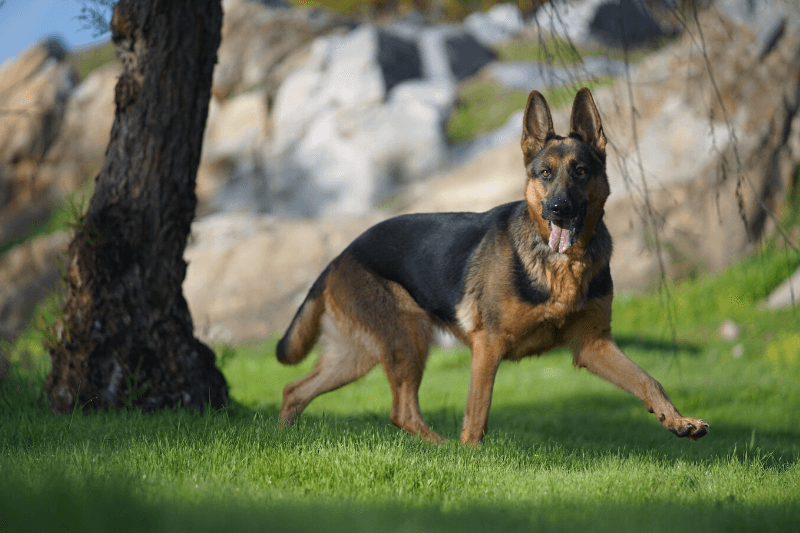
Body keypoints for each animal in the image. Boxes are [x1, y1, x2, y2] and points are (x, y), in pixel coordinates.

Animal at [274, 88, 708, 444]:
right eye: (545, 174)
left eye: (581, 172)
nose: (559, 209)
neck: (562, 266)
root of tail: (341, 253)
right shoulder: (488, 345)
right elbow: (478, 410)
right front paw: (471, 455)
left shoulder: (594, 346)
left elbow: (649, 381)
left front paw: (678, 420)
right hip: (407, 340)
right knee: (401, 411)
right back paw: (445, 450)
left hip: (358, 355)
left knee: (295, 389)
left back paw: (285, 437)